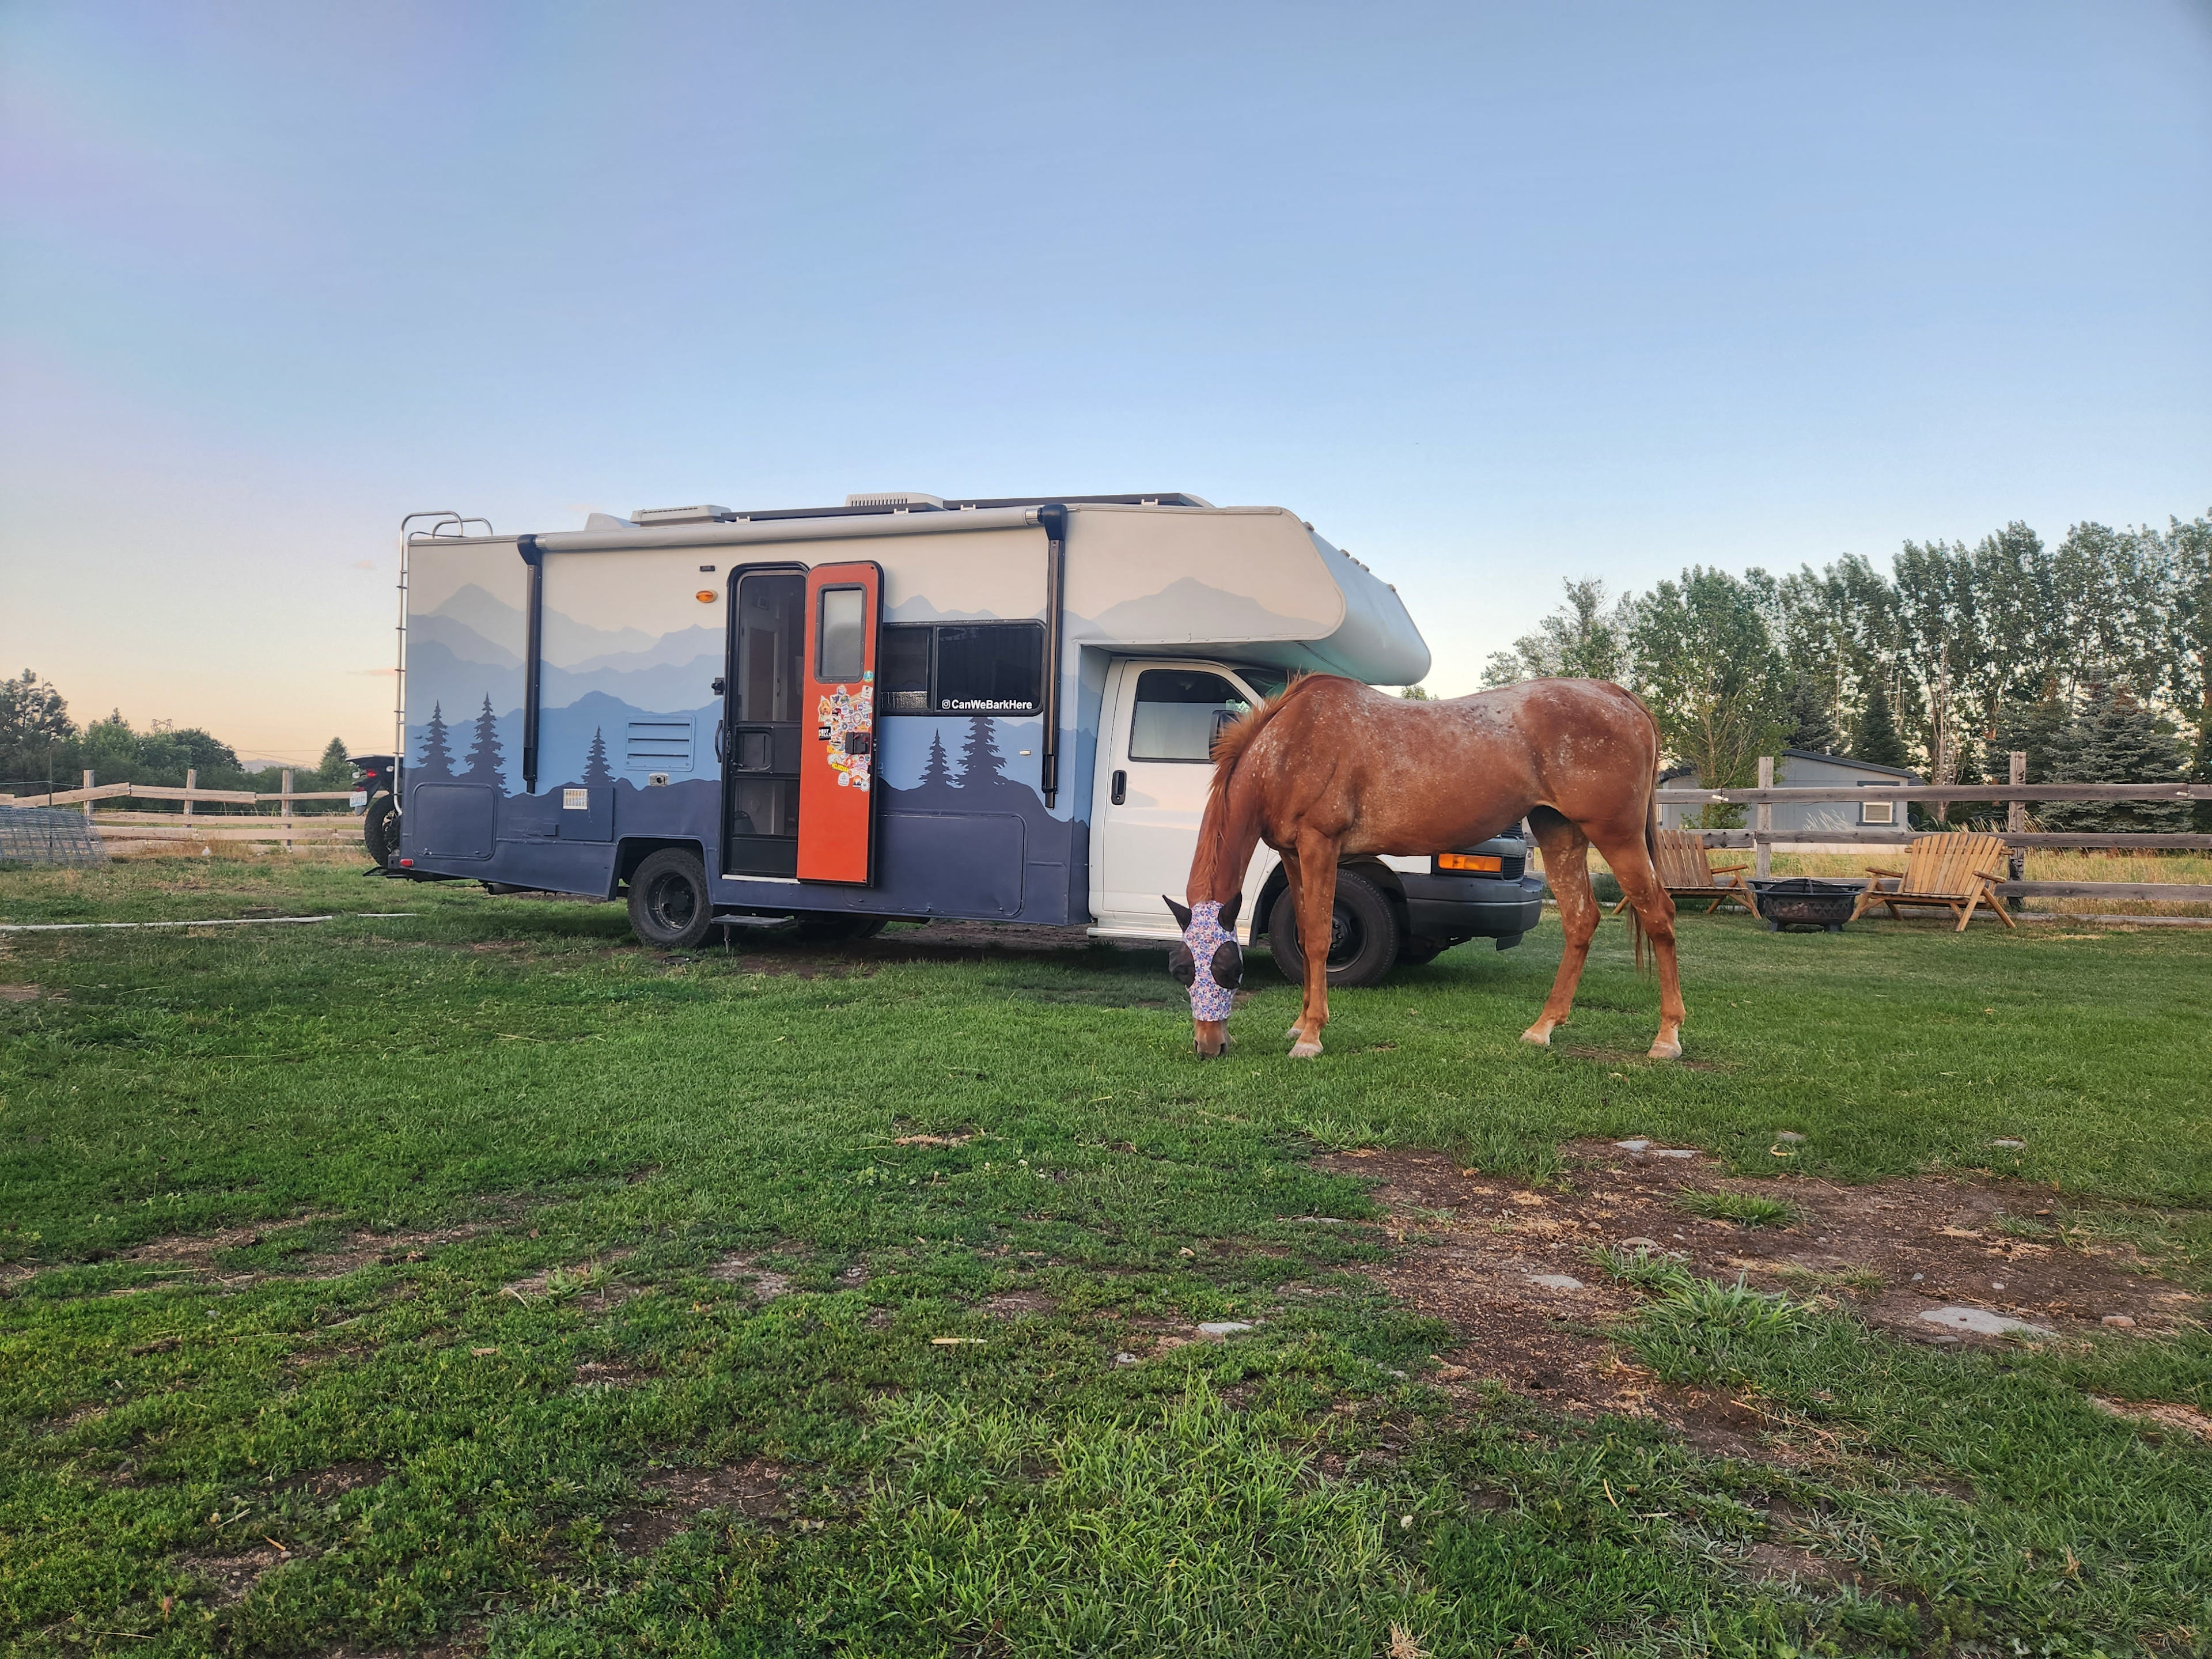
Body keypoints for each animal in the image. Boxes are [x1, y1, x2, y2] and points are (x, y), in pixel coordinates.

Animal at [1166, 674, 1683, 1061]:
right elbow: (1301, 930)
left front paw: (1311, 1037)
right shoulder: (1293, 855)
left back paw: (1667, 1038)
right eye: (1183, 969)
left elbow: (1316, 938)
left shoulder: (1320, 846)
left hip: (1617, 835)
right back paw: (1542, 1029)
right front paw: (1299, 1024)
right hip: (1559, 831)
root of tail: (1619, 696)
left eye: (1229, 967)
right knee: (1580, 920)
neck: (1291, 743)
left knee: (1659, 914)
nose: (1208, 1046)